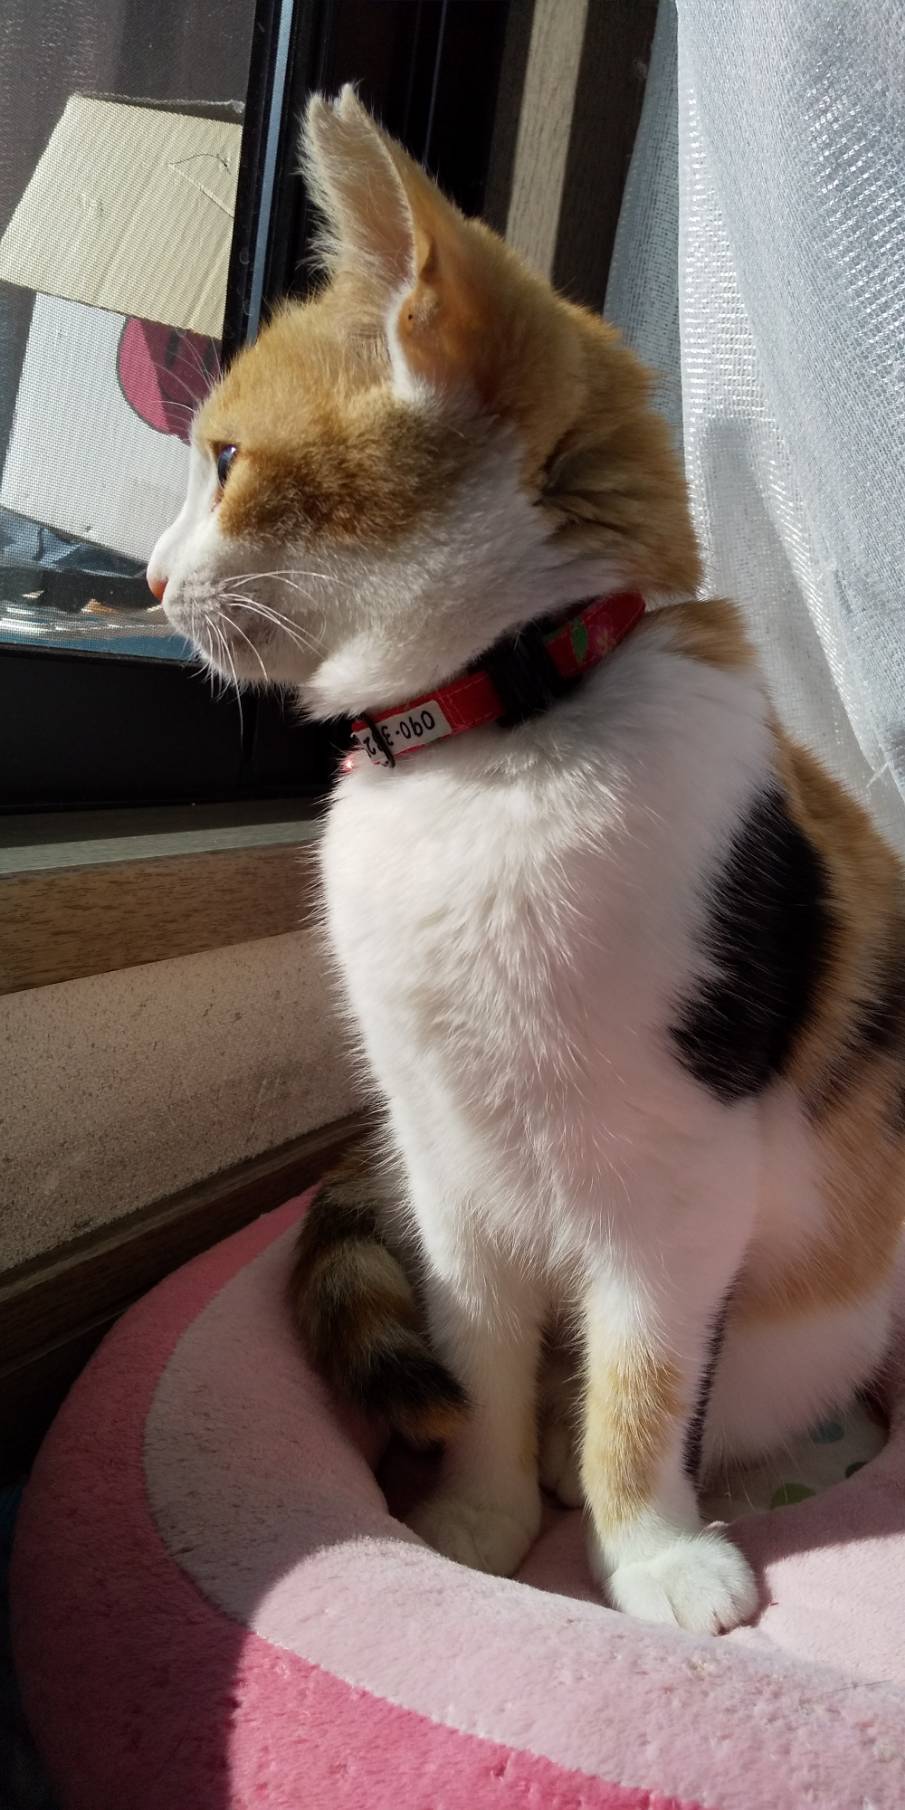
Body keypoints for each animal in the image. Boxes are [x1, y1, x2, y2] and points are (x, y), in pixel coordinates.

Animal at [149, 86, 905, 1635]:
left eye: (226, 463)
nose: (141, 574)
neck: (496, 739)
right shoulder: (448, 1173)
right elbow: (477, 1359)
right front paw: (476, 1519)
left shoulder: (679, 1194)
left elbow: (644, 1386)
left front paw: (652, 1554)